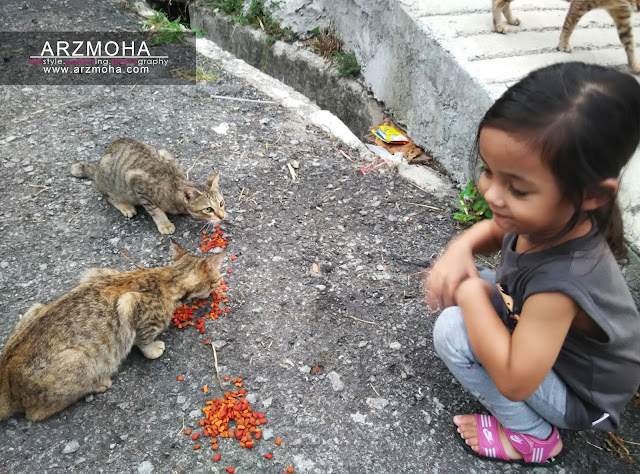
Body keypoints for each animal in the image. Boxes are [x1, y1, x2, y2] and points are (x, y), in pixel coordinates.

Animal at [0, 243, 225, 420]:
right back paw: (98, 384)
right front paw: (153, 349)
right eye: (216, 279)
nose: (220, 284)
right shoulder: (131, 304)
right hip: (80, 360)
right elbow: (143, 338)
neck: (168, 277)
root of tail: (6, 378)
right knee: (36, 413)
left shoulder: (96, 274)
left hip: (34, 309)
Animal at [71, 136, 226, 234]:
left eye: (221, 203)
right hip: (109, 176)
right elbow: (156, 211)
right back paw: (125, 206)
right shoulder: (136, 182)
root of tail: (97, 166)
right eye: (208, 209)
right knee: (108, 195)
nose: (222, 216)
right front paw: (164, 224)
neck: (173, 186)